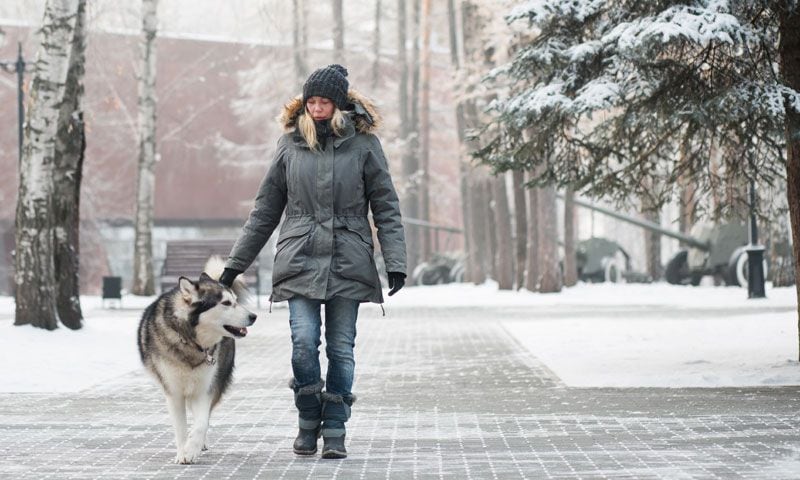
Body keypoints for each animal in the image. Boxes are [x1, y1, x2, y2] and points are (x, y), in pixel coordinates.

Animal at [137, 256, 256, 464]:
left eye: (234, 301)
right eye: (226, 303)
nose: (253, 316)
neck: (190, 341)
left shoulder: (204, 389)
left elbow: (201, 423)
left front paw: (192, 449)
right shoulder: (174, 392)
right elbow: (181, 427)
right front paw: (182, 452)